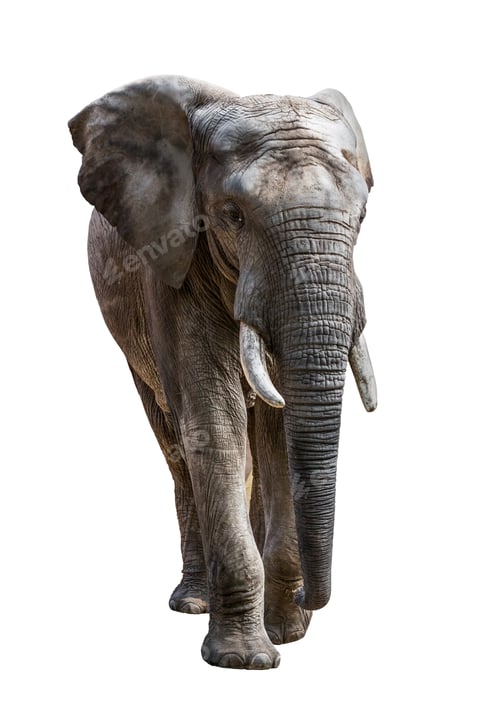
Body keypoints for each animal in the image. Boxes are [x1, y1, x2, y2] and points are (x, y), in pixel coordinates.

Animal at [69, 75, 377, 670]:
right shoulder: (172, 257)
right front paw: (245, 660)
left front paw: (286, 632)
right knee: (177, 443)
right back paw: (192, 601)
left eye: (363, 217)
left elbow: (279, 429)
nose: (308, 599)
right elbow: (213, 416)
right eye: (233, 215)